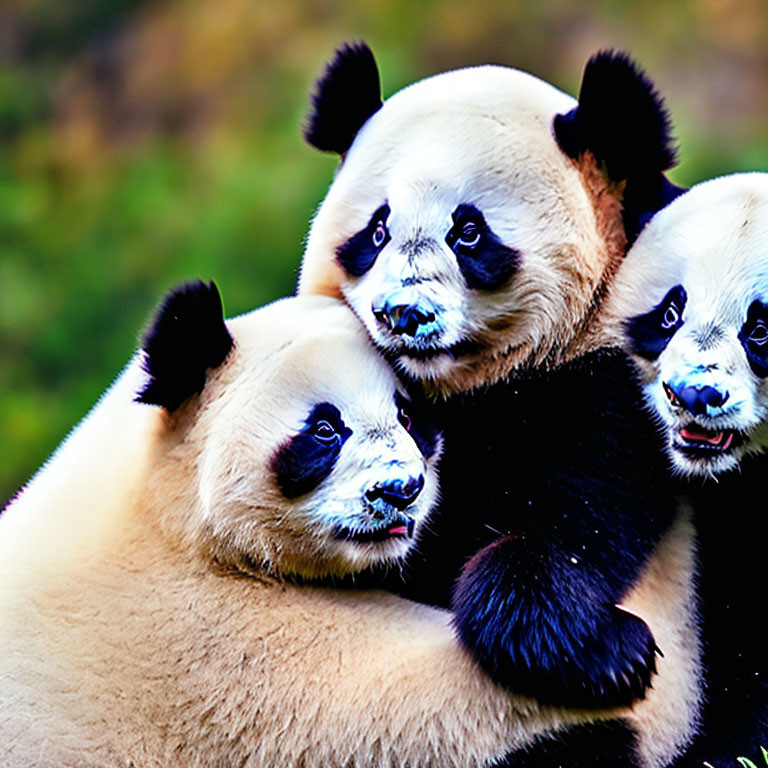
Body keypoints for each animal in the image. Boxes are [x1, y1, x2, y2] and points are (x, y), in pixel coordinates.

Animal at [0, 282, 640, 768]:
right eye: (325, 429)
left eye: (408, 416)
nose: (401, 491)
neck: (170, 517)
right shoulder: (218, 654)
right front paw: (610, 653)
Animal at [298, 43, 704, 768]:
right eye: (377, 230)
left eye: (468, 233)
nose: (402, 313)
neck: (458, 392)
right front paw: (609, 650)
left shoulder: (604, 389)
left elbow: (572, 526)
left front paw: (605, 652)